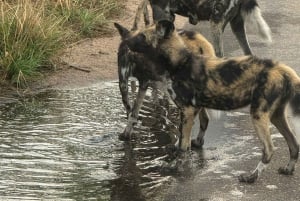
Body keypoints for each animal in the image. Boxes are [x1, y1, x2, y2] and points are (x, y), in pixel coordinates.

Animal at [122, 20, 300, 184]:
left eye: (142, 36)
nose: (125, 40)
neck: (179, 63)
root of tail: (283, 69)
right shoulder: (191, 110)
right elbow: (184, 139)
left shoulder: (188, 111)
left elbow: (183, 147)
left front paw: (175, 168)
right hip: (276, 116)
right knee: (294, 144)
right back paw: (288, 169)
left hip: (258, 115)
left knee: (269, 149)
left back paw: (251, 177)